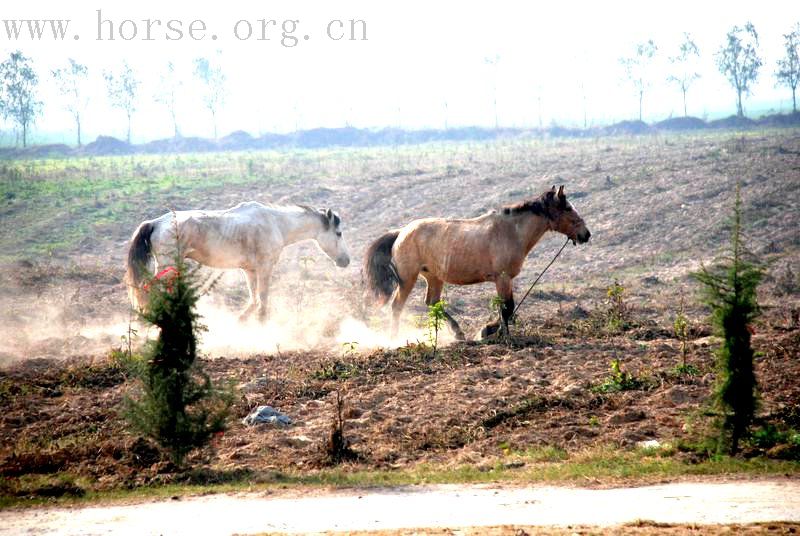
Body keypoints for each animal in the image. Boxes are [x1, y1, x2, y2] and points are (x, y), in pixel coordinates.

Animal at [125, 200, 350, 318]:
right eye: (338, 233)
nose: (345, 261)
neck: (276, 223)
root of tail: (155, 222)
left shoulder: (249, 270)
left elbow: (253, 299)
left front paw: (241, 321)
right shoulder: (265, 267)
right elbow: (263, 298)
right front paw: (261, 322)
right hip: (168, 265)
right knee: (150, 289)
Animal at [366, 186, 592, 340]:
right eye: (568, 208)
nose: (586, 234)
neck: (511, 231)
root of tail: (401, 232)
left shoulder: (505, 280)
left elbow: (507, 308)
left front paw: (489, 330)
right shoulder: (502, 278)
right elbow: (506, 308)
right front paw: (496, 333)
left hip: (434, 277)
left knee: (432, 303)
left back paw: (457, 333)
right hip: (408, 279)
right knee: (397, 306)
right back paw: (394, 339)